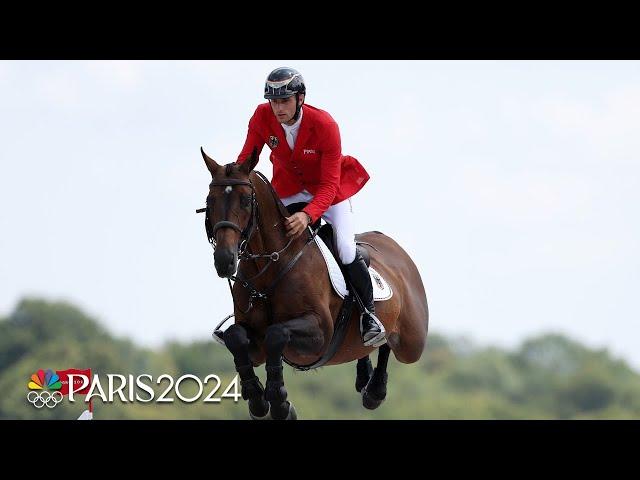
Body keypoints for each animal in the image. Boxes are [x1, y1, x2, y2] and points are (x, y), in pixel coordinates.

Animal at [199, 147, 430, 420]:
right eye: (210, 201)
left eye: (246, 200)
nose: (224, 260)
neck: (272, 265)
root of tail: (394, 247)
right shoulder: (254, 346)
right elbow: (236, 337)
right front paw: (257, 399)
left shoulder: (320, 333)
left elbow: (276, 333)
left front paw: (280, 403)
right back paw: (366, 378)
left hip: (412, 343)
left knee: (389, 343)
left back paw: (375, 386)